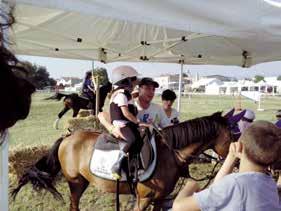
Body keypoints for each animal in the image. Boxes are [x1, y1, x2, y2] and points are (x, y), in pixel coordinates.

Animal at [12, 111, 242, 210]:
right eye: (233, 136)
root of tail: (68, 137)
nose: (238, 162)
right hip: (75, 182)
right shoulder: (145, 198)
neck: (168, 154)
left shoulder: (159, 199)